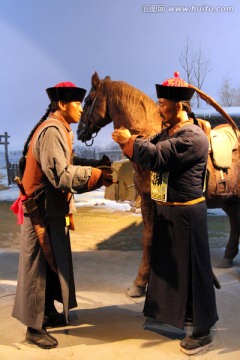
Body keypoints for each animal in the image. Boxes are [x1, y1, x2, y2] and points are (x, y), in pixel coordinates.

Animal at [77, 71, 240, 296]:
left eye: (88, 100)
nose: (79, 131)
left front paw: (141, 283)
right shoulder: (147, 200)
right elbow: (148, 238)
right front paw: (140, 283)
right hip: (229, 201)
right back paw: (227, 258)